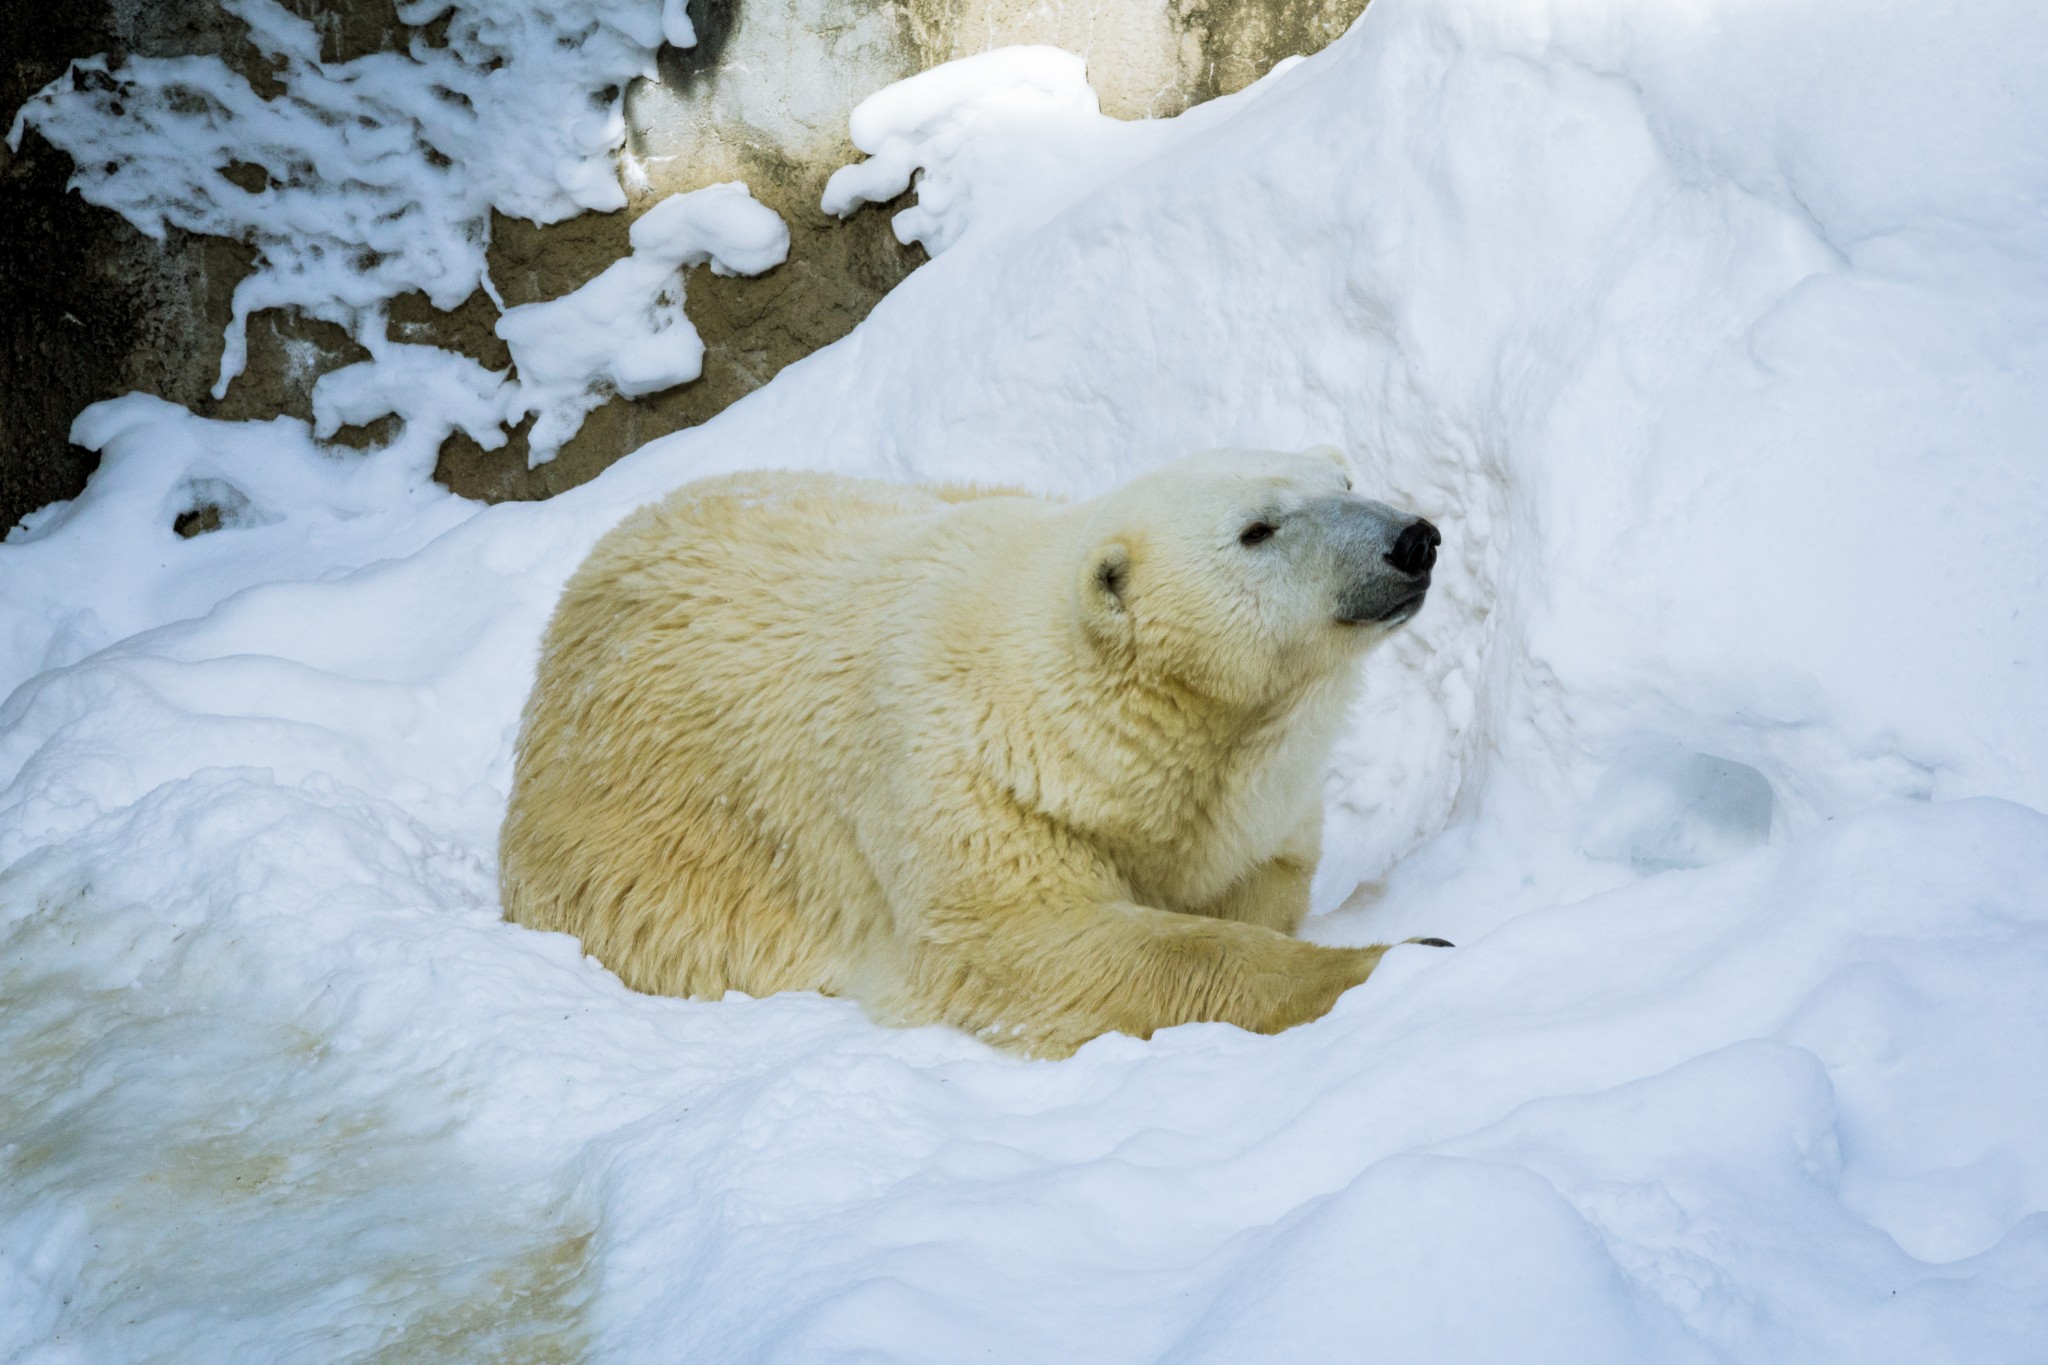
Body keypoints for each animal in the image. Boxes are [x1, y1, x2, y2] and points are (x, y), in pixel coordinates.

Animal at [503, 448, 1449, 1055]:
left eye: (1345, 480)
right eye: (1259, 528)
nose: (1413, 537)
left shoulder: (1258, 796)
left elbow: (1259, 873)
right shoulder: (973, 787)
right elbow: (1035, 949)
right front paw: (1403, 954)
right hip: (616, 836)